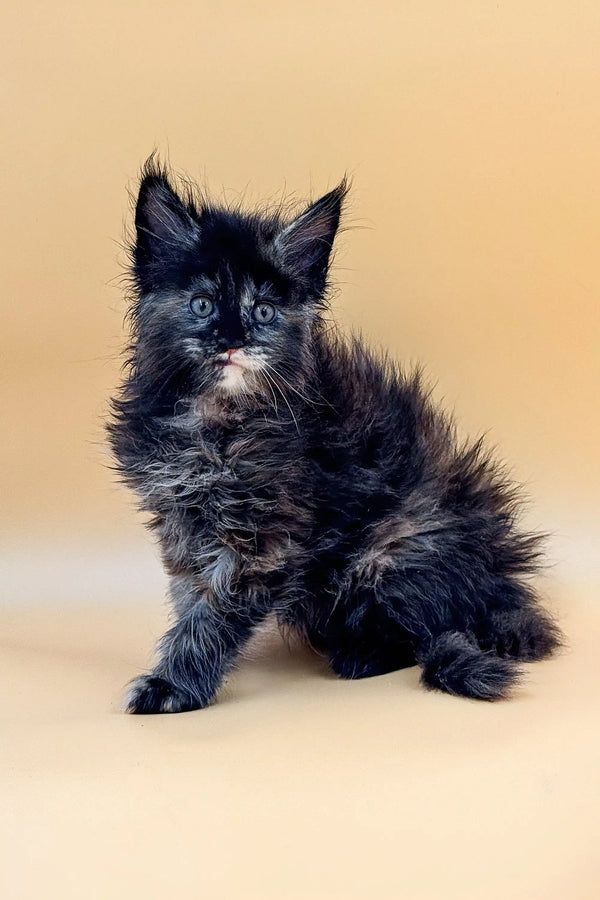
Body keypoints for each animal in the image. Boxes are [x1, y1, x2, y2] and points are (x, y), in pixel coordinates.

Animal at [108, 158, 564, 712]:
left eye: (264, 312)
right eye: (201, 304)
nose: (234, 340)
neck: (214, 419)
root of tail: (499, 582)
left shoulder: (264, 539)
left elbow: (213, 615)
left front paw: (173, 686)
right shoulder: (181, 522)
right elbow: (191, 596)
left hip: (389, 551)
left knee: (426, 632)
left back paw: (360, 657)